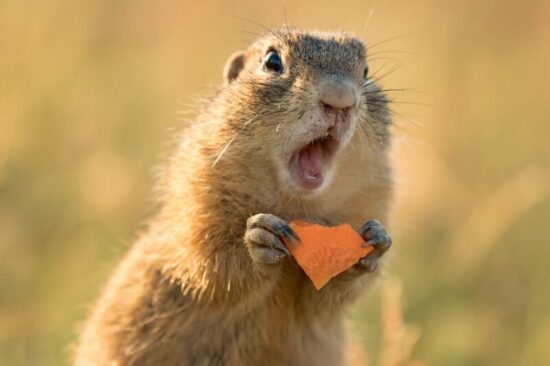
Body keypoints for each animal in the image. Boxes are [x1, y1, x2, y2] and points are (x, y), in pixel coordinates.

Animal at [74, 26, 396, 366]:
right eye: (272, 61)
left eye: (366, 71)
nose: (340, 99)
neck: (297, 205)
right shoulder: (196, 196)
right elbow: (207, 260)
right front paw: (259, 238)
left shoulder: (374, 197)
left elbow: (323, 300)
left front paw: (374, 242)